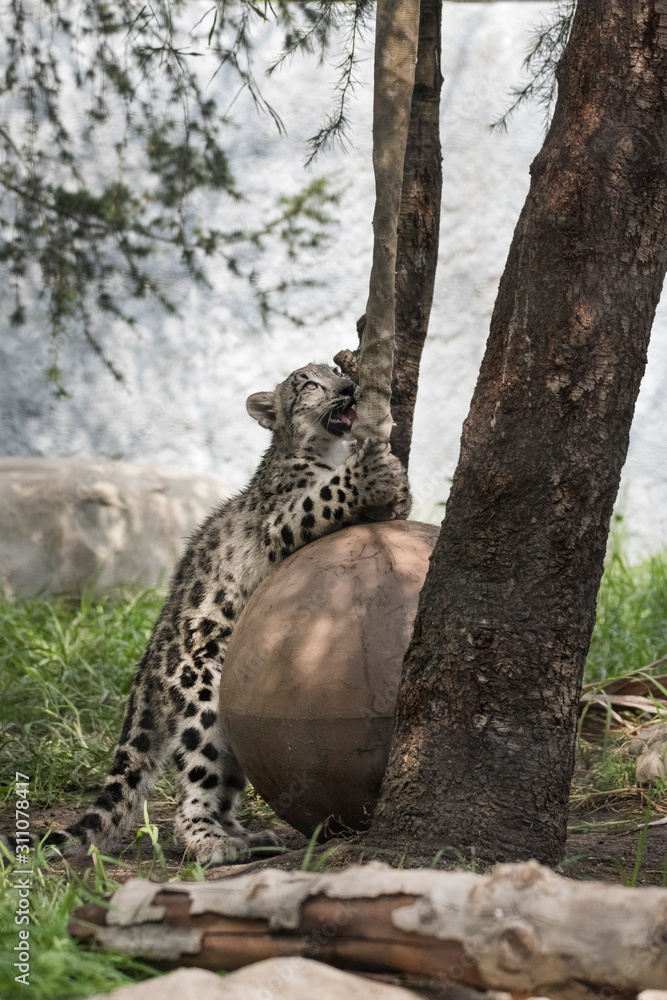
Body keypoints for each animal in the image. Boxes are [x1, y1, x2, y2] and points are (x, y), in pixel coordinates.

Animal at [48, 363, 411, 864]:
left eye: (337, 370)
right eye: (309, 383)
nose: (347, 387)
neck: (330, 450)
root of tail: (147, 665)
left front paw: (398, 481)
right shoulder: (279, 522)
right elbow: (322, 499)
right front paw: (371, 471)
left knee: (226, 785)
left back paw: (252, 837)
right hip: (202, 697)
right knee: (195, 787)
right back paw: (213, 844)